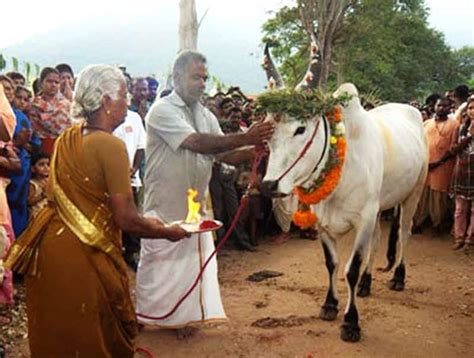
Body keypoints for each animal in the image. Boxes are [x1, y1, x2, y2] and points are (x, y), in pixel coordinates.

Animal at [262, 83, 428, 342]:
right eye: (268, 131)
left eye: (301, 128)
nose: (269, 185)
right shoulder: (323, 224)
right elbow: (332, 264)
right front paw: (330, 305)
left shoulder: (363, 220)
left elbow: (351, 270)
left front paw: (351, 322)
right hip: (379, 206)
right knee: (377, 241)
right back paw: (366, 284)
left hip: (413, 193)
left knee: (404, 233)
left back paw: (398, 278)